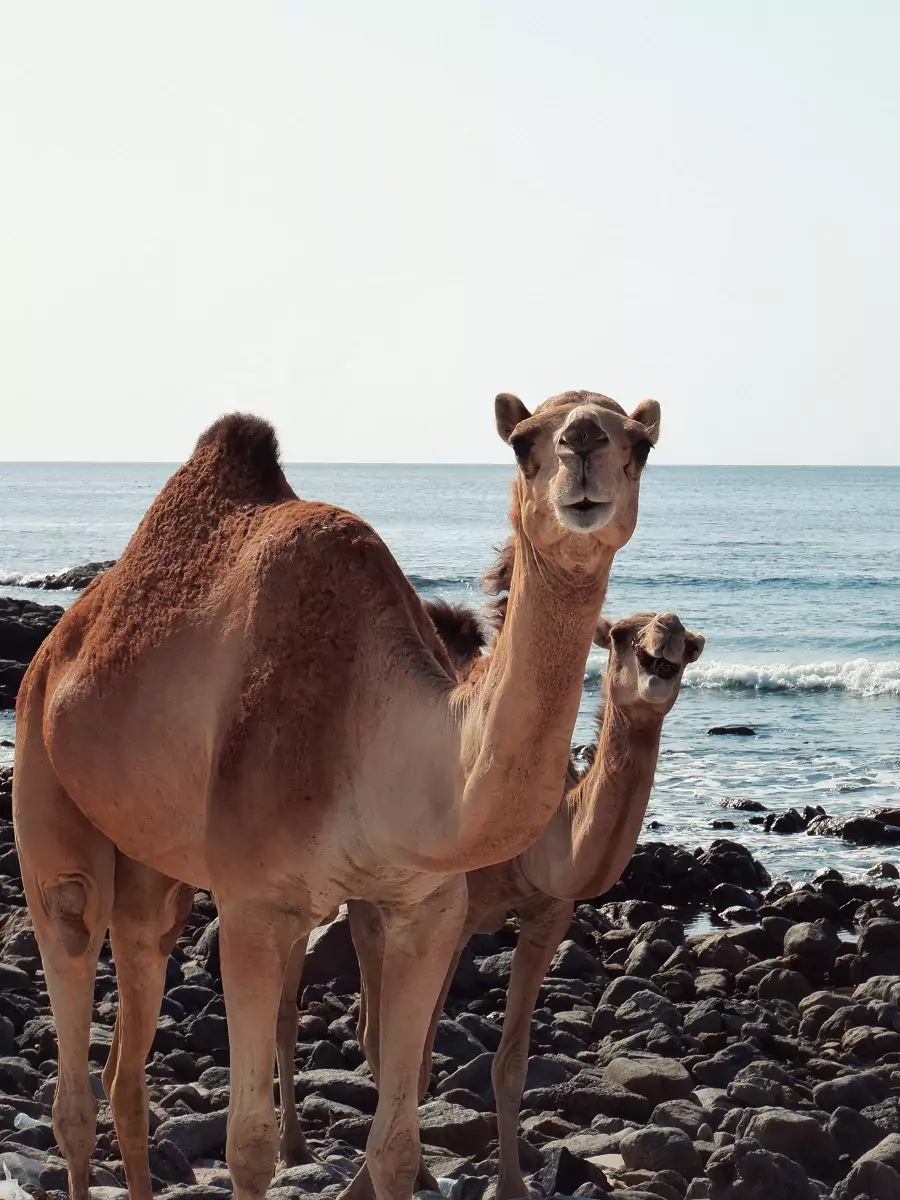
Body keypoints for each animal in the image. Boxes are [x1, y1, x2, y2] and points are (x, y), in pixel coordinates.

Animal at [13, 390, 660, 1200]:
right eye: (522, 441)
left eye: (640, 442)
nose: (584, 445)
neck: (371, 734)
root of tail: (57, 643)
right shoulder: (253, 906)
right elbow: (248, 1144)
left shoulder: (426, 910)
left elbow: (398, 1145)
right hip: (43, 771)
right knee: (70, 999)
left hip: (152, 868)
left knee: (128, 1043)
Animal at [279, 609, 703, 1199]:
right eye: (622, 636)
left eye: (687, 644)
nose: (661, 644)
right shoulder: (455, 916)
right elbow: (418, 1060)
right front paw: (361, 1186)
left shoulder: (549, 915)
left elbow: (510, 1063)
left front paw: (511, 1186)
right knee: (309, 1016)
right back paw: (294, 1148)